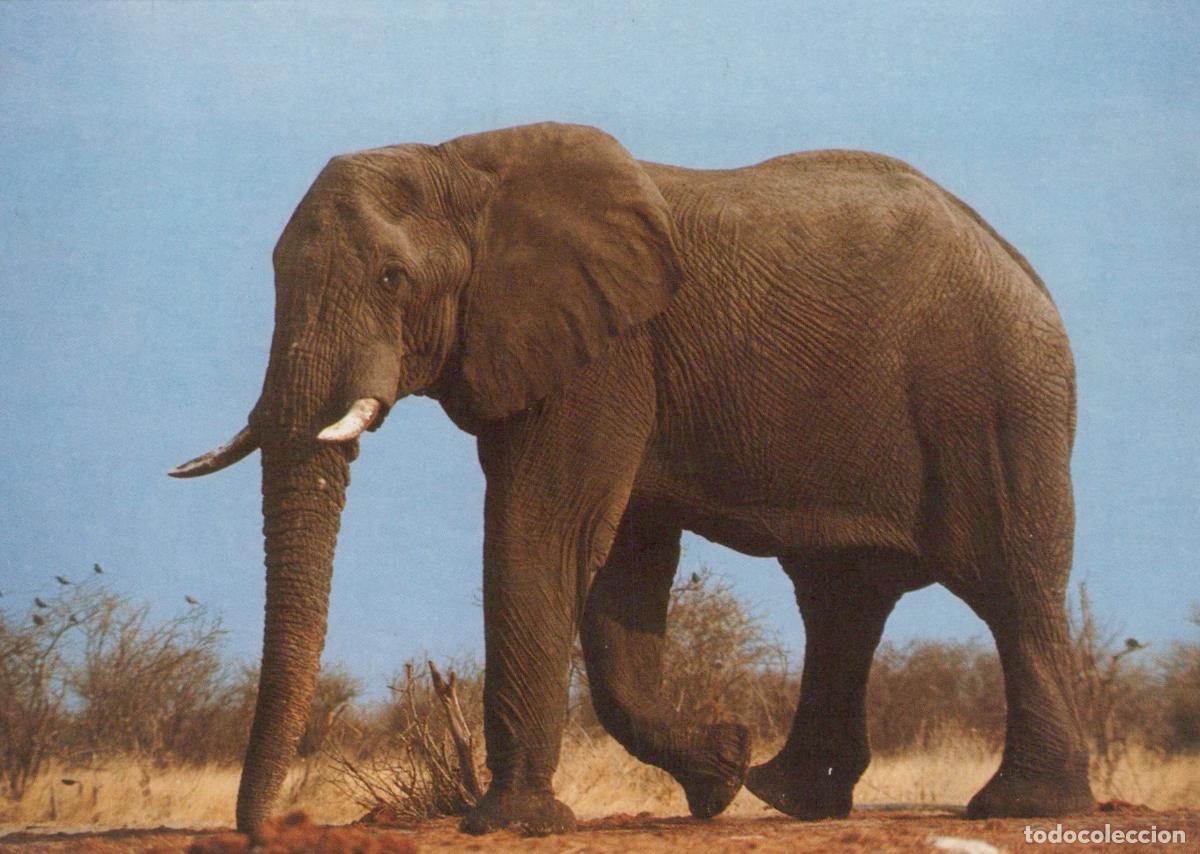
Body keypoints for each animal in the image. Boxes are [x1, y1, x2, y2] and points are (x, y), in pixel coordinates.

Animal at [171, 122, 1094, 834]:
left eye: (392, 278)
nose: (268, 827)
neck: (463, 163)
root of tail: (1021, 266)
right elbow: (622, 569)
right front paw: (720, 768)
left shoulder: (605, 356)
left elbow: (545, 531)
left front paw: (511, 824)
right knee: (843, 599)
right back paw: (788, 796)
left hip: (995, 398)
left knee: (1009, 584)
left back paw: (1018, 807)